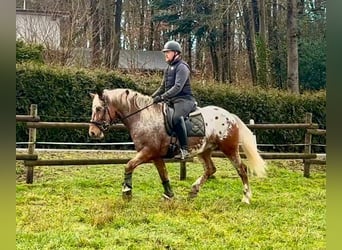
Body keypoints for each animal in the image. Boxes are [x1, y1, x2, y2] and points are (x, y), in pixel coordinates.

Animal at [89, 88, 268, 203]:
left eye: (98, 108)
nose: (93, 133)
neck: (142, 117)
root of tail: (229, 115)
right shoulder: (155, 155)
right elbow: (163, 174)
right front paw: (169, 195)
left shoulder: (148, 152)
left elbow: (129, 165)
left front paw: (126, 192)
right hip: (204, 150)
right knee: (210, 169)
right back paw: (193, 191)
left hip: (229, 149)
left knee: (241, 169)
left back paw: (246, 198)